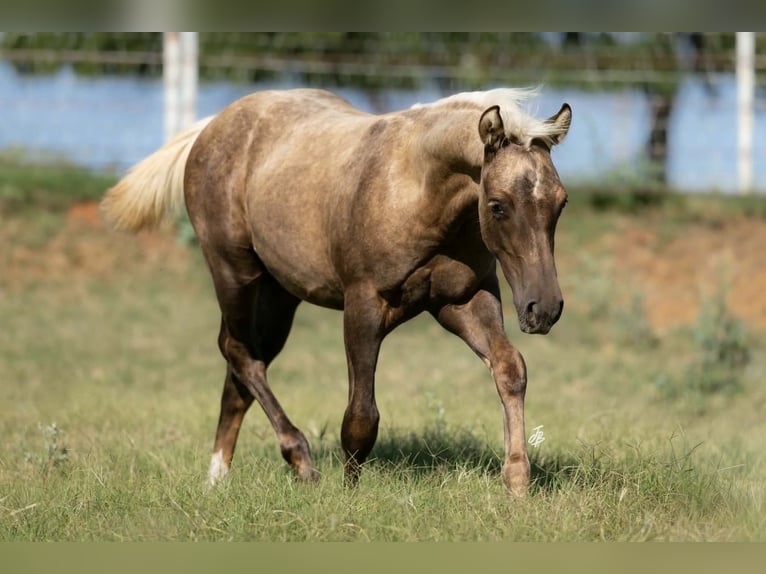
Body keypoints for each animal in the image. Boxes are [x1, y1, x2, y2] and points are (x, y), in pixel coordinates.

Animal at [100, 87, 572, 497]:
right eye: (497, 205)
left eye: (561, 202)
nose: (544, 309)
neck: (417, 188)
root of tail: (214, 125)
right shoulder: (363, 304)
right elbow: (361, 414)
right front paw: (349, 495)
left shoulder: (463, 301)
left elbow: (510, 369)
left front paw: (517, 484)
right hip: (234, 273)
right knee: (238, 353)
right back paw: (299, 463)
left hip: (279, 294)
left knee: (242, 368)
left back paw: (218, 478)